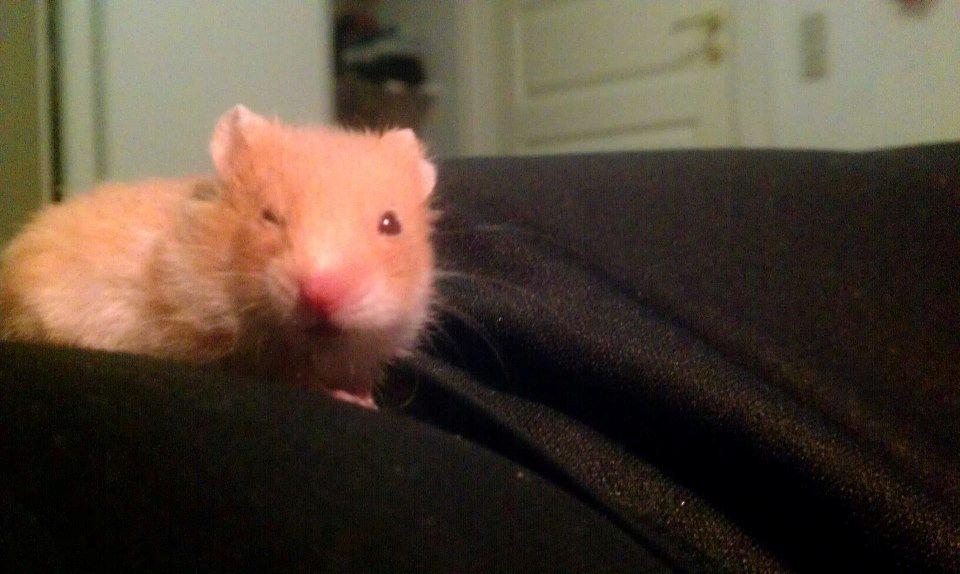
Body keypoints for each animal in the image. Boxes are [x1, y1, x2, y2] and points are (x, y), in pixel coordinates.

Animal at [0, 105, 438, 409]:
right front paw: (351, 399)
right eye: (269, 216)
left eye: (390, 223)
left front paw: (365, 397)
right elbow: (286, 372)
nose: (322, 295)